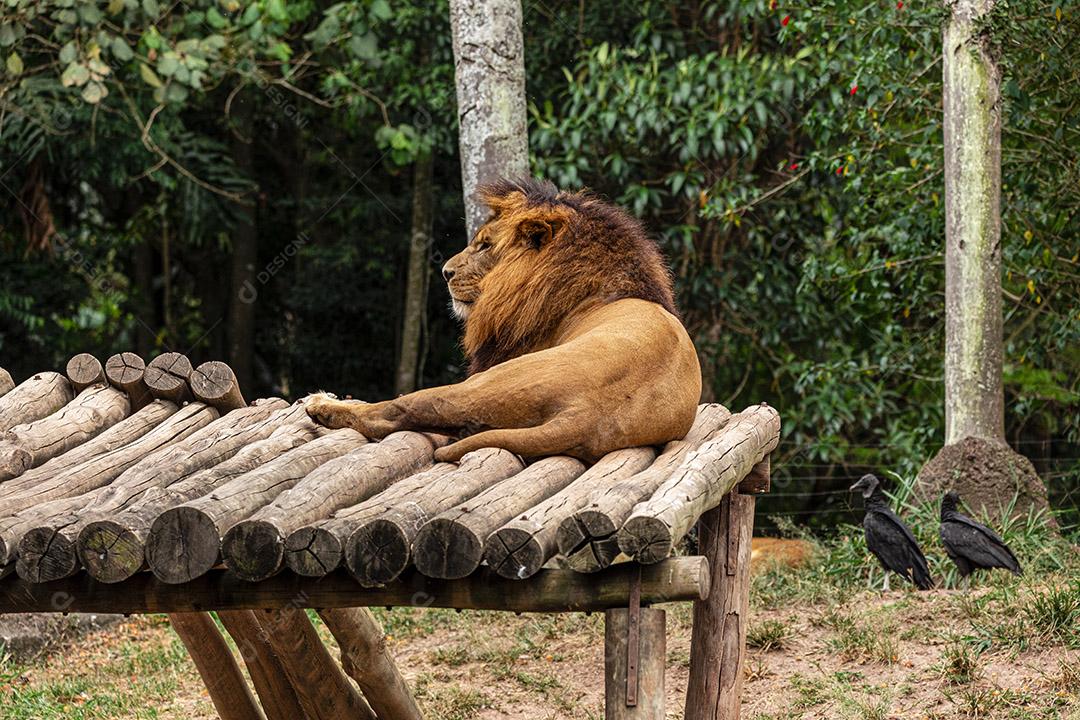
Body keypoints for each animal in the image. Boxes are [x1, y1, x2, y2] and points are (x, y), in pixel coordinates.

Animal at [306, 177, 702, 463]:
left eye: (484, 245)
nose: (445, 272)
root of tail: (588, 415)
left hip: (487, 382)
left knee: (395, 411)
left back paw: (321, 405)